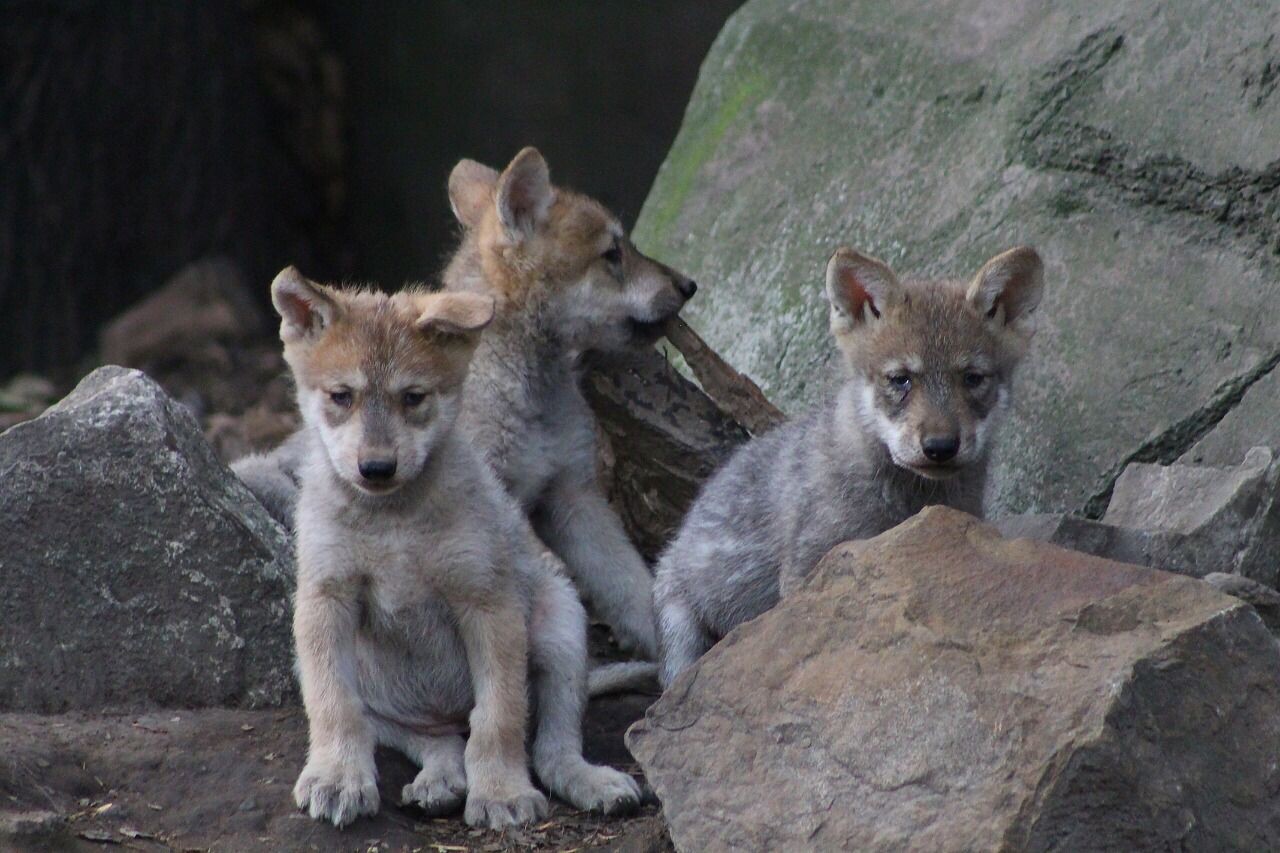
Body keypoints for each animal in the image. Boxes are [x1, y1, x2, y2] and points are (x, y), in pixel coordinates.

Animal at [272, 267, 641, 830]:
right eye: (341, 395)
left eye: (413, 397)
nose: (376, 468)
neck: (393, 522)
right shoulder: (324, 600)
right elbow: (334, 706)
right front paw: (337, 778)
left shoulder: (487, 603)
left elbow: (499, 717)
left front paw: (503, 793)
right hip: (359, 687)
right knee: (433, 740)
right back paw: (439, 782)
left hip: (560, 629)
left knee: (551, 748)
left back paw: (591, 782)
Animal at [653, 245, 1045, 687]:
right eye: (900, 379)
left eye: (973, 378)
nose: (940, 447)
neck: (907, 503)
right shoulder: (811, 568)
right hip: (679, 631)